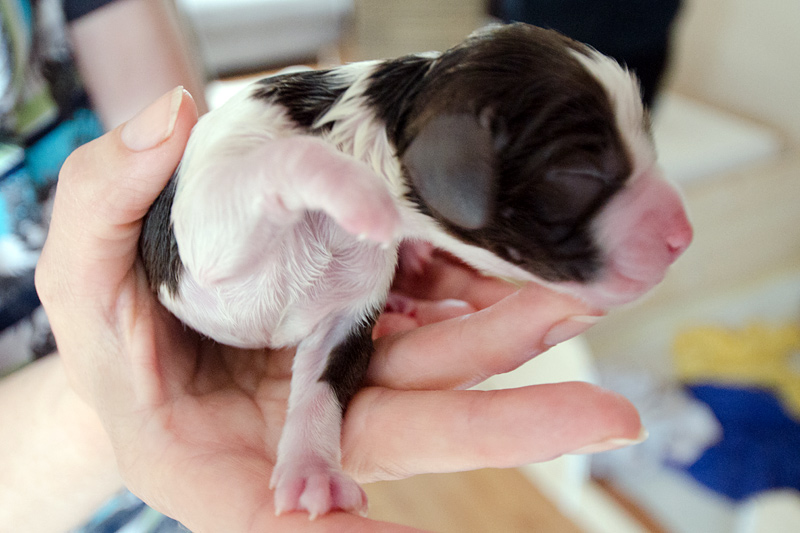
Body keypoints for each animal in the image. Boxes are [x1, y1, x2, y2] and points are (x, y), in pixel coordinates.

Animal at [139, 22, 692, 516]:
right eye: (579, 173)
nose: (683, 237)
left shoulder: (343, 320)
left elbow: (322, 393)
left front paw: (313, 472)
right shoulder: (205, 231)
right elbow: (283, 160)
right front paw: (360, 192)